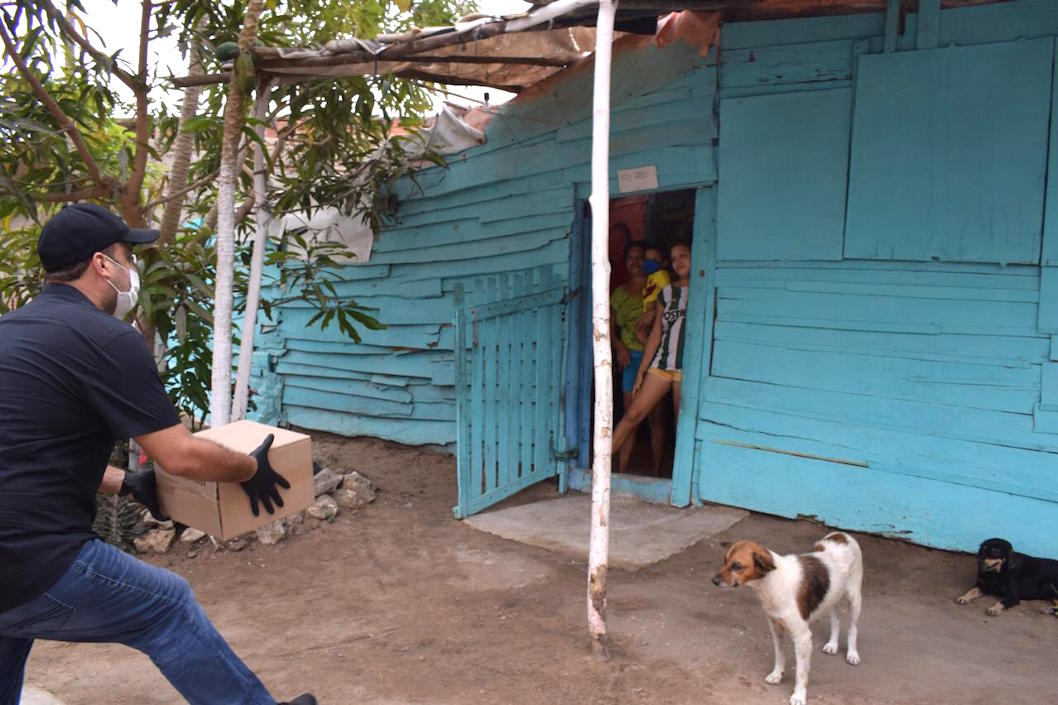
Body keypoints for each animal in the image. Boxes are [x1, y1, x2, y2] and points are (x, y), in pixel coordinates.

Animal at [715, 533, 863, 702]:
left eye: (737, 566)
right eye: (724, 561)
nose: (714, 580)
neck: (772, 582)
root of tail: (842, 535)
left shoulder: (803, 638)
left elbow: (801, 672)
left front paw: (799, 695)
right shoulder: (775, 628)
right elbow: (779, 655)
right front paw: (777, 675)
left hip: (854, 598)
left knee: (853, 628)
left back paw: (852, 654)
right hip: (831, 597)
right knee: (836, 621)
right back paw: (832, 645)